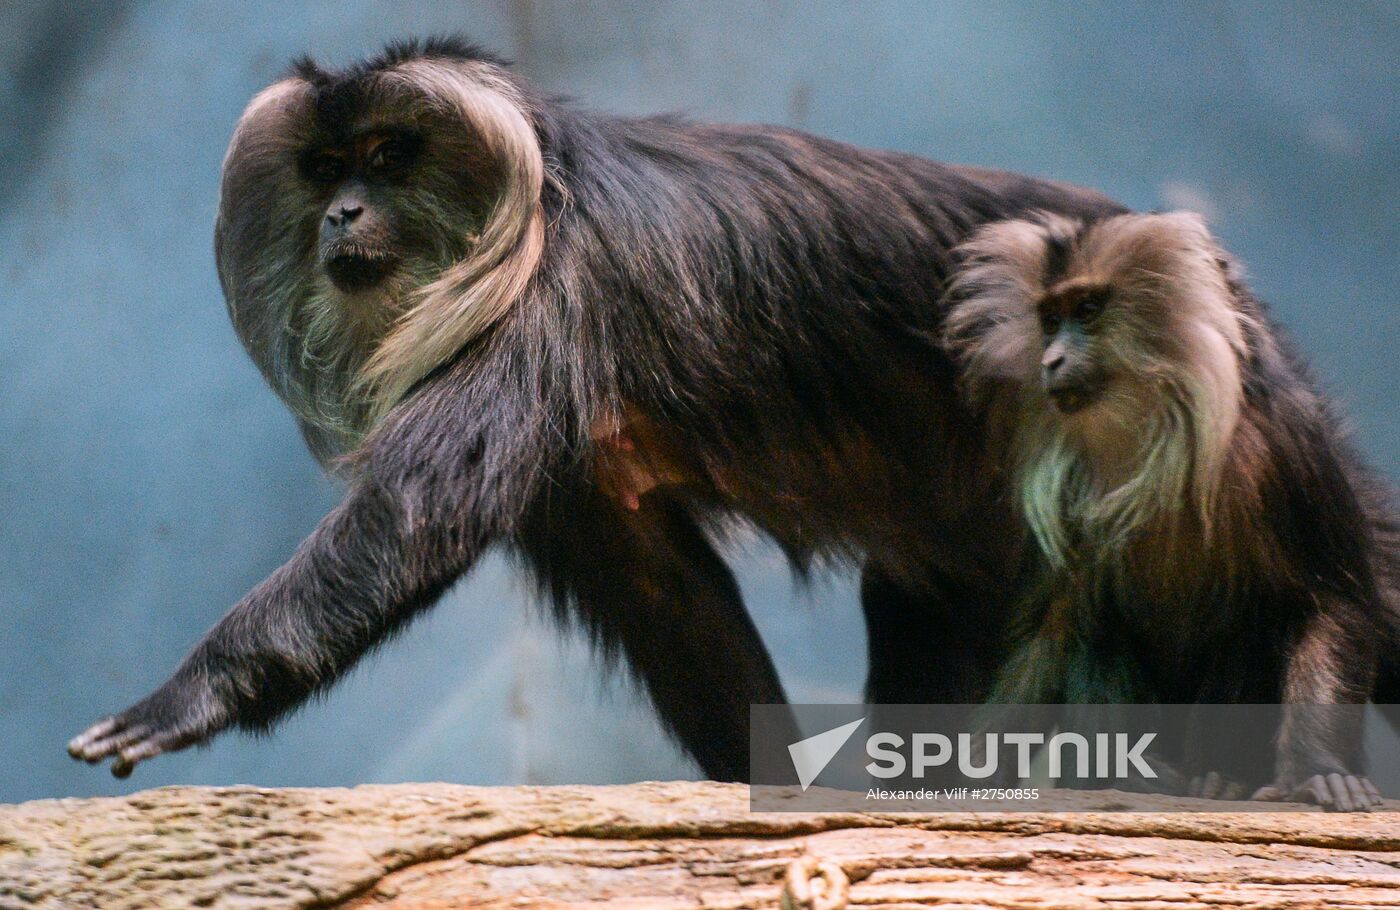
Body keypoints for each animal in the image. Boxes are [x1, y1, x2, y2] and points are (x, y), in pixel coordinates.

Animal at [67, 37, 1130, 782]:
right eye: (328, 170)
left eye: (389, 156)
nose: (343, 215)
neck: (538, 210)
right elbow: (662, 593)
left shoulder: (564, 299)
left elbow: (410, 516)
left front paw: (187, 697)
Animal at [940, 210, 1392, 810]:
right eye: (1050, 320)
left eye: (1088, 310)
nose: (1050, 360)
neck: (1158, 434)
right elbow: (1050, 629)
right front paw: (973, 770)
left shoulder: (1289, 443)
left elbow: (1332, 602)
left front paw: (1319, 772)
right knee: (1099, 626)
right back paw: (1127, 774)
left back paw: (1216, 779)